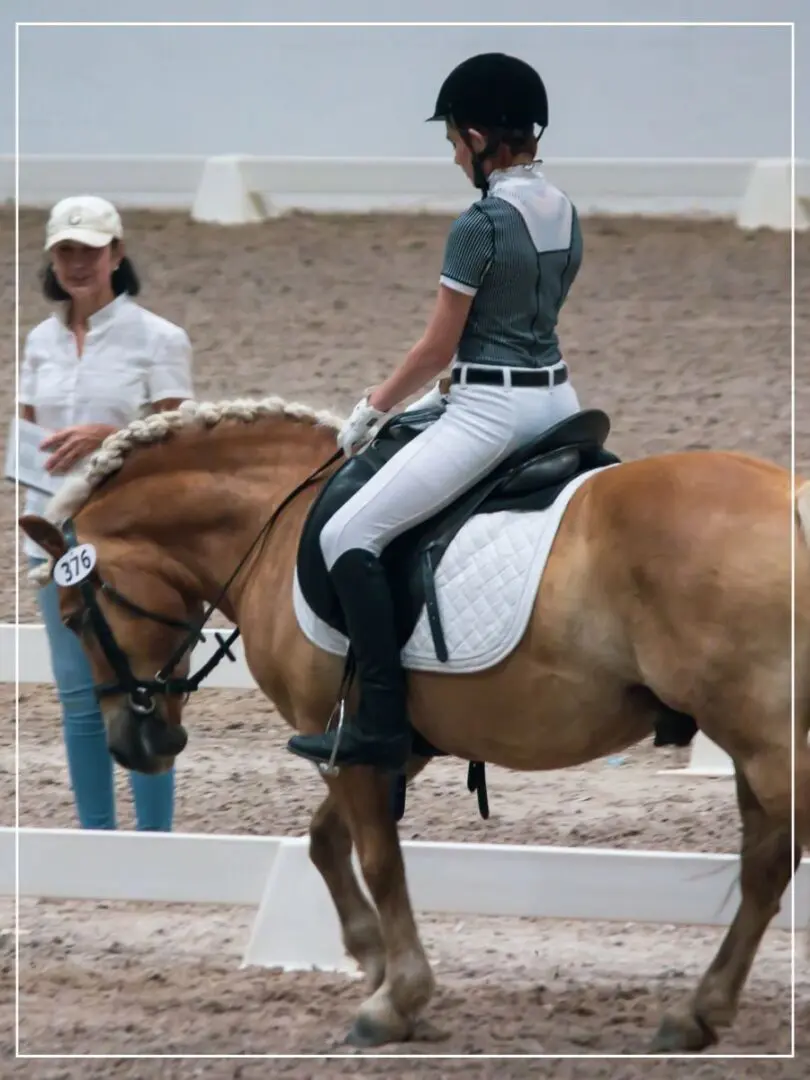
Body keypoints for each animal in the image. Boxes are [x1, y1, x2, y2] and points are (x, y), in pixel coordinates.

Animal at [19, 393, 810, 1049]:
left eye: (73, 615)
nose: (135, 746)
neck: (279, 522)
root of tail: (789, 497)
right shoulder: (384, 739)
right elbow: (324, 842)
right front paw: (370, 961)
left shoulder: (344, 737)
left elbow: (378, 857)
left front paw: (393, 1001)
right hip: (754, 746)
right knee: (765, 867)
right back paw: (696, 1014)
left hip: (762, 743)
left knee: (772, 862)